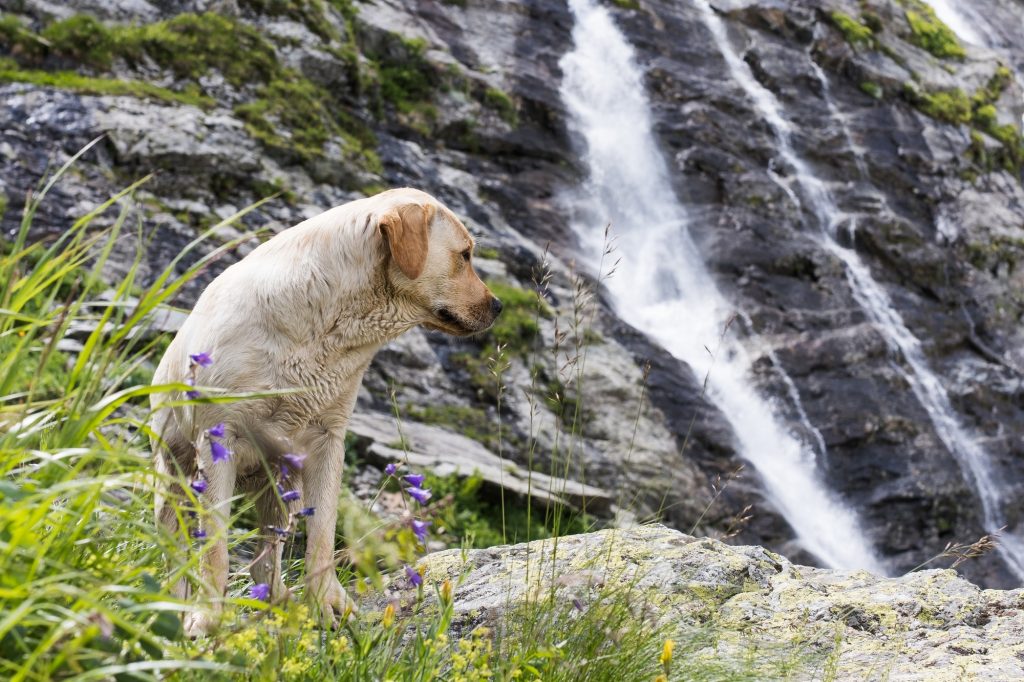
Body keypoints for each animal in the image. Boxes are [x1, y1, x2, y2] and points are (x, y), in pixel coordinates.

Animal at [149, 184, 501, 630]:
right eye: (465, 254)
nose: (499, 306)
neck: (325, 325)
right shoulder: (218, 442)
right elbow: (215, 549)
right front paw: (206, 616)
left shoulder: (327, 441)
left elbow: (322, 533)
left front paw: (327, 604)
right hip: (173, 478)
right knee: (176, 548)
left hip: (280, 482)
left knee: (265, 559)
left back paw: (280, 602)